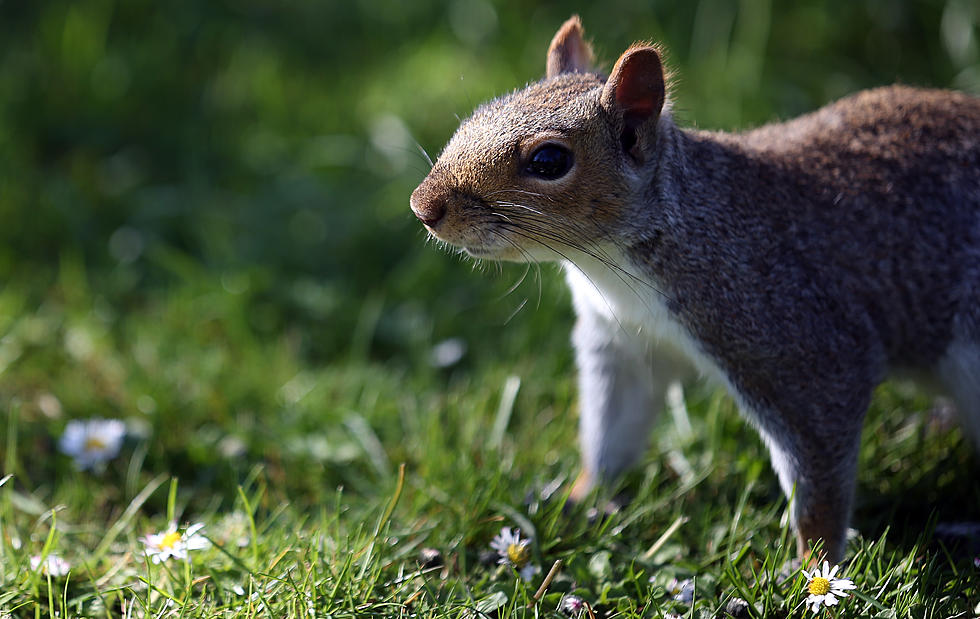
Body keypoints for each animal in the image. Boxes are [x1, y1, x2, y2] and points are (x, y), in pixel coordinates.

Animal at [408, 17, 980, 564]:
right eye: (476, 115)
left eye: (549, 161)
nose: (423, 206)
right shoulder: (627, 345)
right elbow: (612, 431)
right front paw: (579, 499)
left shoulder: (800, 341)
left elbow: (819, 463)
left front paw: (810, 566)